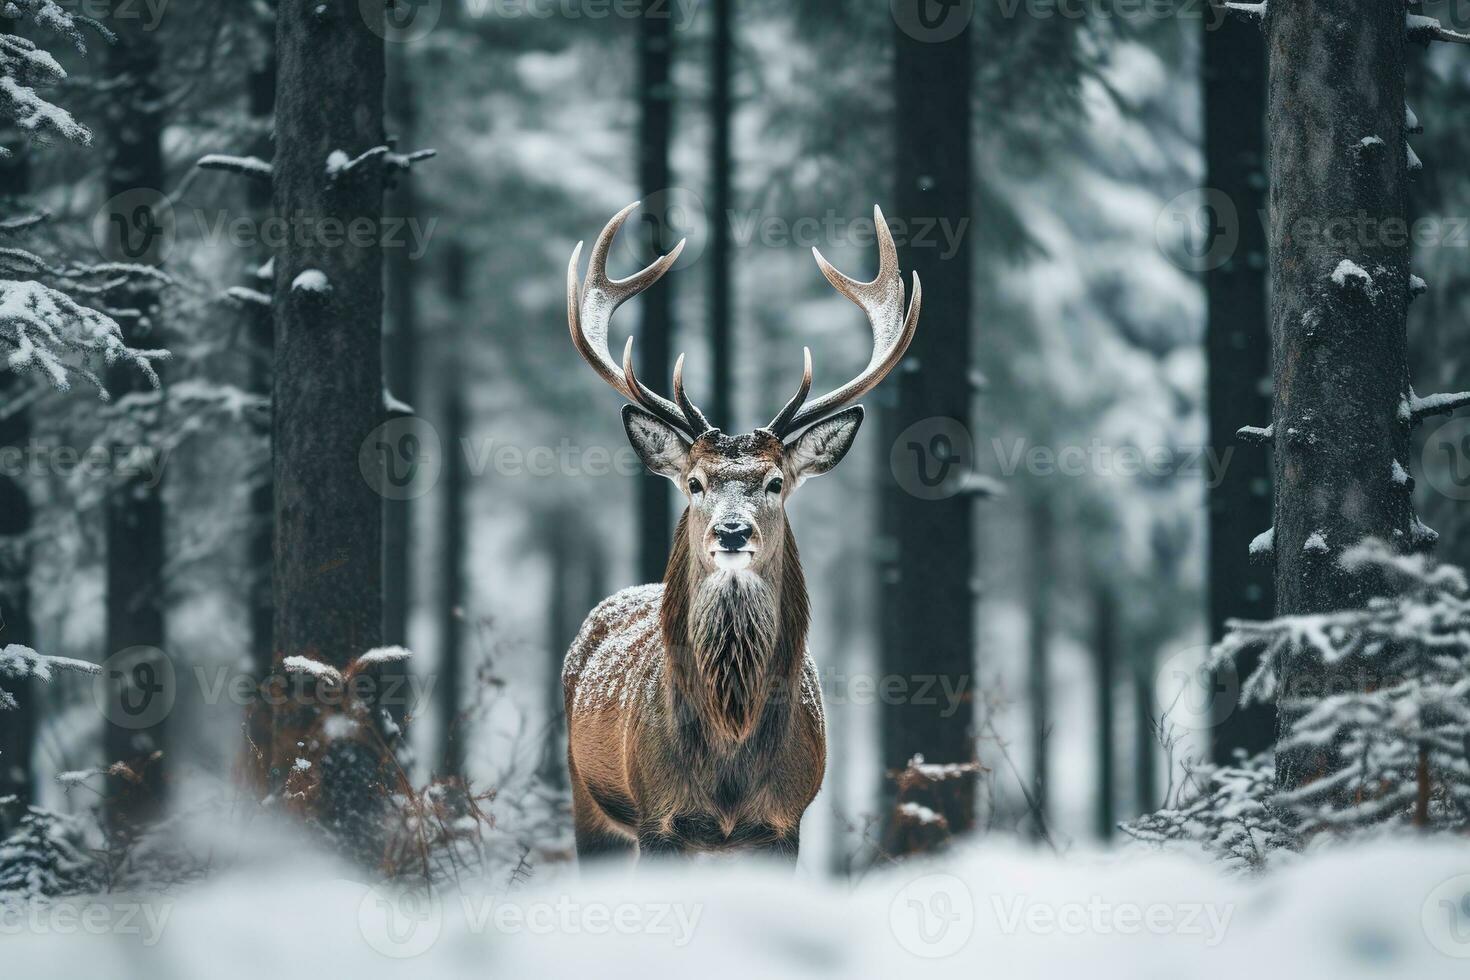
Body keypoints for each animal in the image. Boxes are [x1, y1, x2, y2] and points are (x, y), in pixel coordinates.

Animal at [561, 202, 917, 863]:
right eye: (695, 482)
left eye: (775, 481)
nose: (730, 531)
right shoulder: (659, 818)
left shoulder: (783, 823)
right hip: (586, 798)